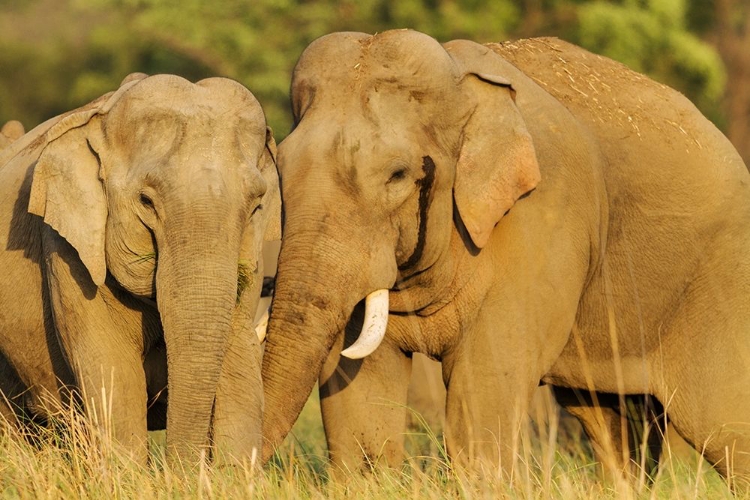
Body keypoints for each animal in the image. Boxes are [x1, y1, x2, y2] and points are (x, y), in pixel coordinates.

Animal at [0, 70, 280, 464]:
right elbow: (114, 370)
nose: (180, 471)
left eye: (256, 205)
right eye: (146, 201)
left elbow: (239, 366)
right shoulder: (64, 246)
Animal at [260, 29, 750, 486]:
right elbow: (360, 388)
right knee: (611, 423)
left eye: (398, 175)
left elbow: (484, 381)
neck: (462, 84)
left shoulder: (544, 215)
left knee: (726, 428)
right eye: (280, 166)